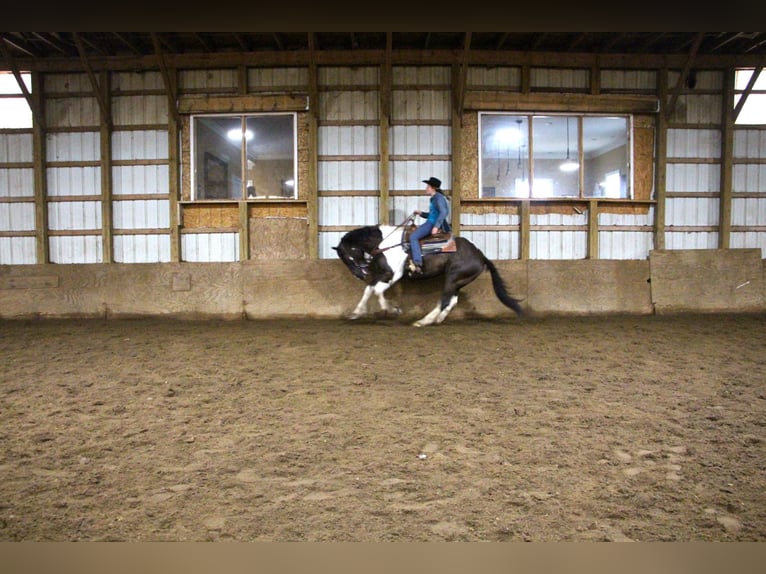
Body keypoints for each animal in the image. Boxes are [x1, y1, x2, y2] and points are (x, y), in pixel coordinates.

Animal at [332, 218, 524, 328]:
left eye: (349, 256)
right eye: (345, 259)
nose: (360, 274)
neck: (387, 243)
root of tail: (481, 256)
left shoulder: (394, 274)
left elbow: (377, 291)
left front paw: (393, 309)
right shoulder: (384, 274)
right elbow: (369, 289)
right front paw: (356, 312)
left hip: (453, 278)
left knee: (445, 299)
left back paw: (424, 321)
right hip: (458, 281)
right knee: (451, 300)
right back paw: (437, 319)